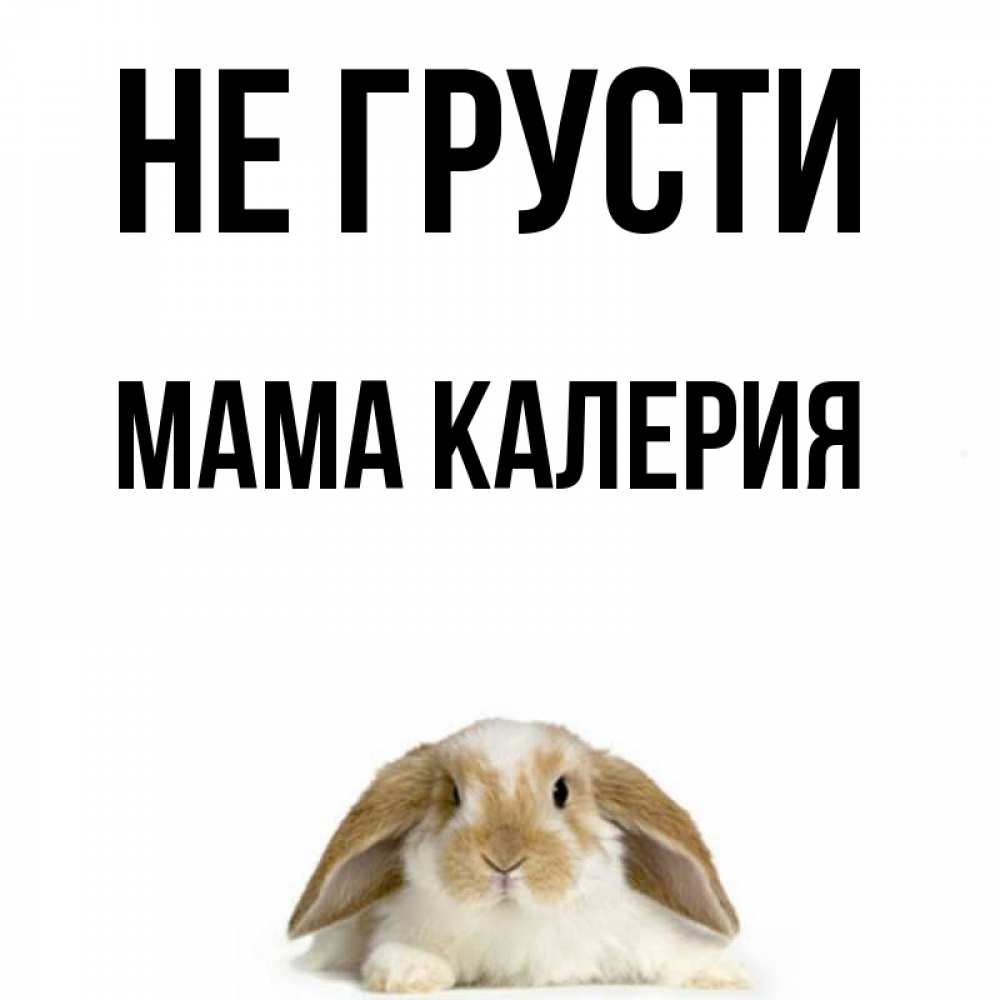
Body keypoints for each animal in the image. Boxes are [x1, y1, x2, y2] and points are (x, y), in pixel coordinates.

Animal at [288, 719, 750, 991]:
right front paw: (409, 973)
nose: (504, 859)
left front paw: (725, 973)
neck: (514, 919)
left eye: (561, 791)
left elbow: (674, 950)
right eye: (453, 795)